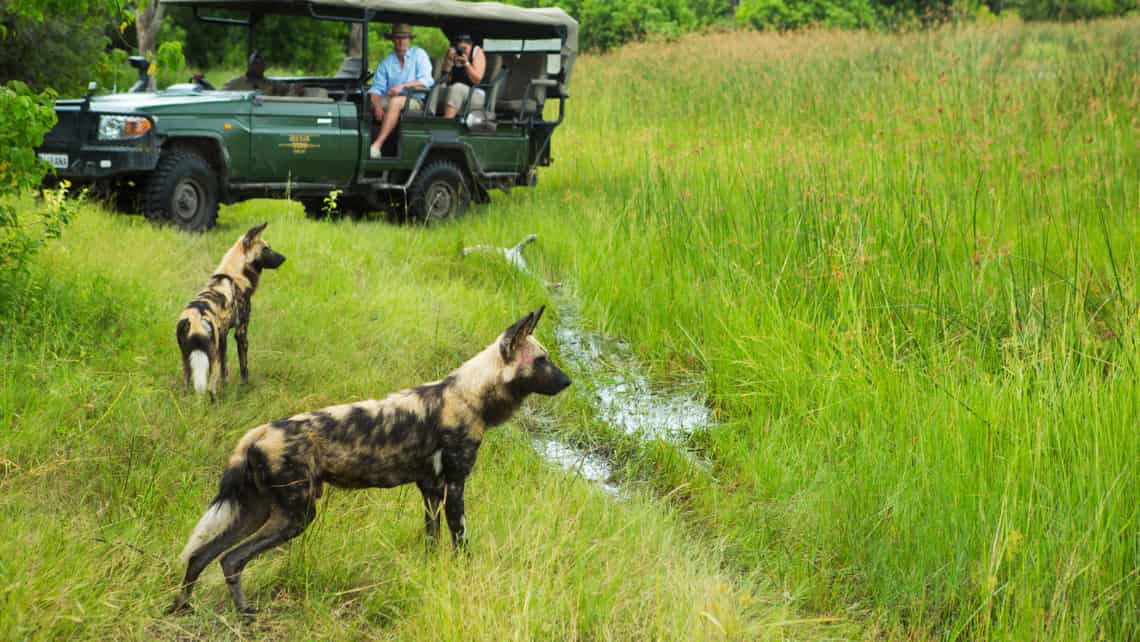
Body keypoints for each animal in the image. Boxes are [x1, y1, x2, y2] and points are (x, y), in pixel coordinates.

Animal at [168, 303, 570, 615]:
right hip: (295, 516)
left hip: (256, 511)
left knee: (201, 556)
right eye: (542, 361)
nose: (568, 382)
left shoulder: (430, 490)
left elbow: (432, 540)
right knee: (231, 559)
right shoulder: (455, 487)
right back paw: (245, 614)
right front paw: (463, 575)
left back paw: (183, 607)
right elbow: (460, 541)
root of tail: (256, 433)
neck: (470, 394)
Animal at [177, 223, 287, 399]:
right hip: (211, 357)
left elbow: (225, 370)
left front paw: (227, 386)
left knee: (187, 384)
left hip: (186, 358)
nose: (284, 258)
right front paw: (245, 387)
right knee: (210, 388)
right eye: (266, 249)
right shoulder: (241, 332)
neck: (235, 275)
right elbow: (244, 366)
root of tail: (193, 318)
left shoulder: (223, 336)